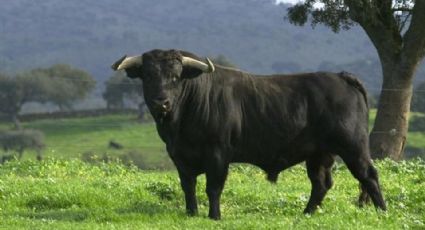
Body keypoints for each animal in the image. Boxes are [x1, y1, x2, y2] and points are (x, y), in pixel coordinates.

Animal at [111, 49, 386, 219]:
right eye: (148, 75)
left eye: (176, 76)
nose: (161, 102)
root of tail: (340, 76)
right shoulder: (180, 157)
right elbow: (188, 187)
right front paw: (191, 213)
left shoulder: (218, 155)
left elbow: (213, 188)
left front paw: (214, 216)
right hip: (318, 154)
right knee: (321, 183)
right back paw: (306, 214)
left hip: (353, 147)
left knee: (369, 175)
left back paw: (382, 211)